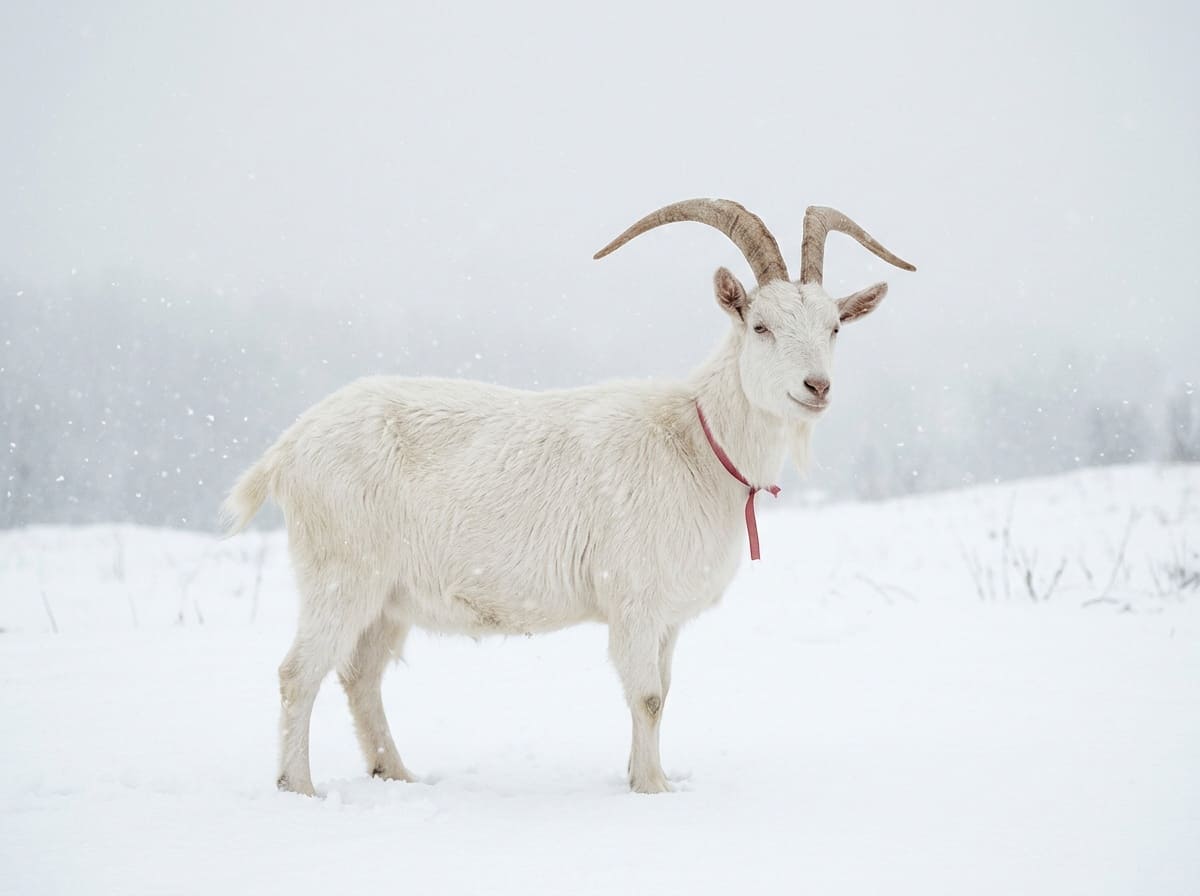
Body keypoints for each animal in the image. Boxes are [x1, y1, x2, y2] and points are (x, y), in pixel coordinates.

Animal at [223, 199, 915, 795]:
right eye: (761, 325)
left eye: (834, 326)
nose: (816, 387)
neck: (696, 442)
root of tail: (289, 444)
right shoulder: (633, 598)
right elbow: (647, 696)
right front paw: (655, 789)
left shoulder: (666, 616)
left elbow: (664, 691)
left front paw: (644, 776)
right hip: (341, 572)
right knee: (298, 673)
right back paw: (300, 787)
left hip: (388, 597)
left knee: (360, 675)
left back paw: (396, 774)